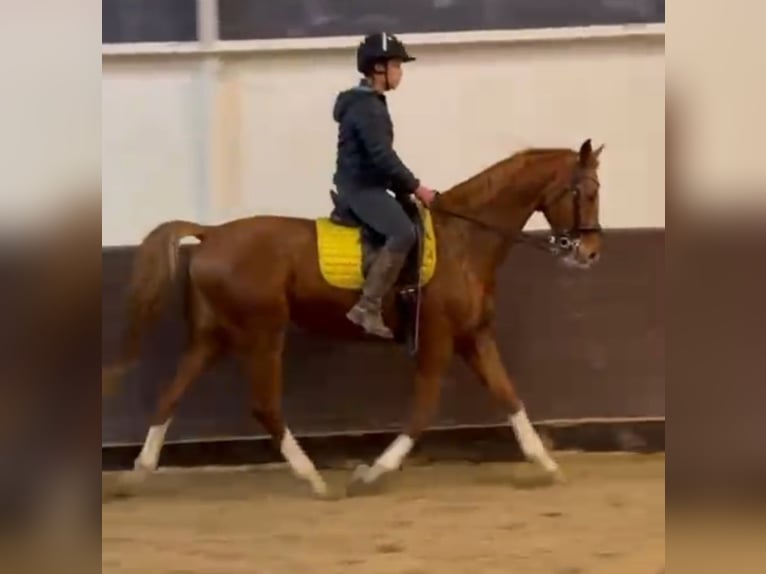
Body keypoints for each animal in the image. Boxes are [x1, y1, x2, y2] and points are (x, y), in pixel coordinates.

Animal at [103, 139, 604, 498]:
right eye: (587, 191)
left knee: (170, 396)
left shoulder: (474, 336)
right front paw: (372, 473)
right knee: (264, 405)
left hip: (214, 337)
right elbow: (423, 412)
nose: (590, 253)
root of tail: (210, 235)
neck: (464, 239)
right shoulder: (439, 339)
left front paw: (546, 465)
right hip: (262, 332)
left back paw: (138, 474)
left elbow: (509, 396)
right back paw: (313, 479)